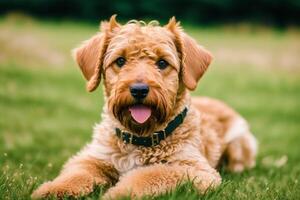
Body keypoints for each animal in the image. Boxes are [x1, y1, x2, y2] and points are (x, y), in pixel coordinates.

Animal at [32, 16, 258, 199]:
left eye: (162, 63)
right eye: (120, 60)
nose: (139, 89)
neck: (140, 137)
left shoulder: (196, 170)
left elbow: (149, 175)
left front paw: (119, 193)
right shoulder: (93, 157)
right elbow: (77, 174)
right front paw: (53, 190)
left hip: (239, 144)